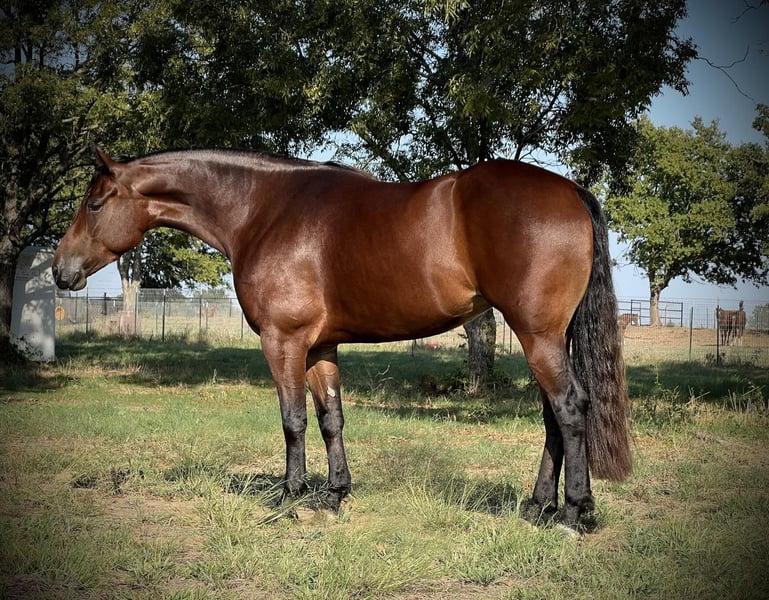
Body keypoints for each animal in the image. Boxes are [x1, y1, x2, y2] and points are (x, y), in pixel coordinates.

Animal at [52, 146, 632, 527]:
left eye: (95, 204)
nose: (60, 271)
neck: (264, 210)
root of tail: (571, 190)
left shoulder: (282, 342)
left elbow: (292, 421)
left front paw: (289, 497)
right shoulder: (320, 347)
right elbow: (331, 418)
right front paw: (334, 494)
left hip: (538, 336)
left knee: (570, 409)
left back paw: (573, 512)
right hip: (546, 338)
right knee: (553, 418)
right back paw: (538, 506)